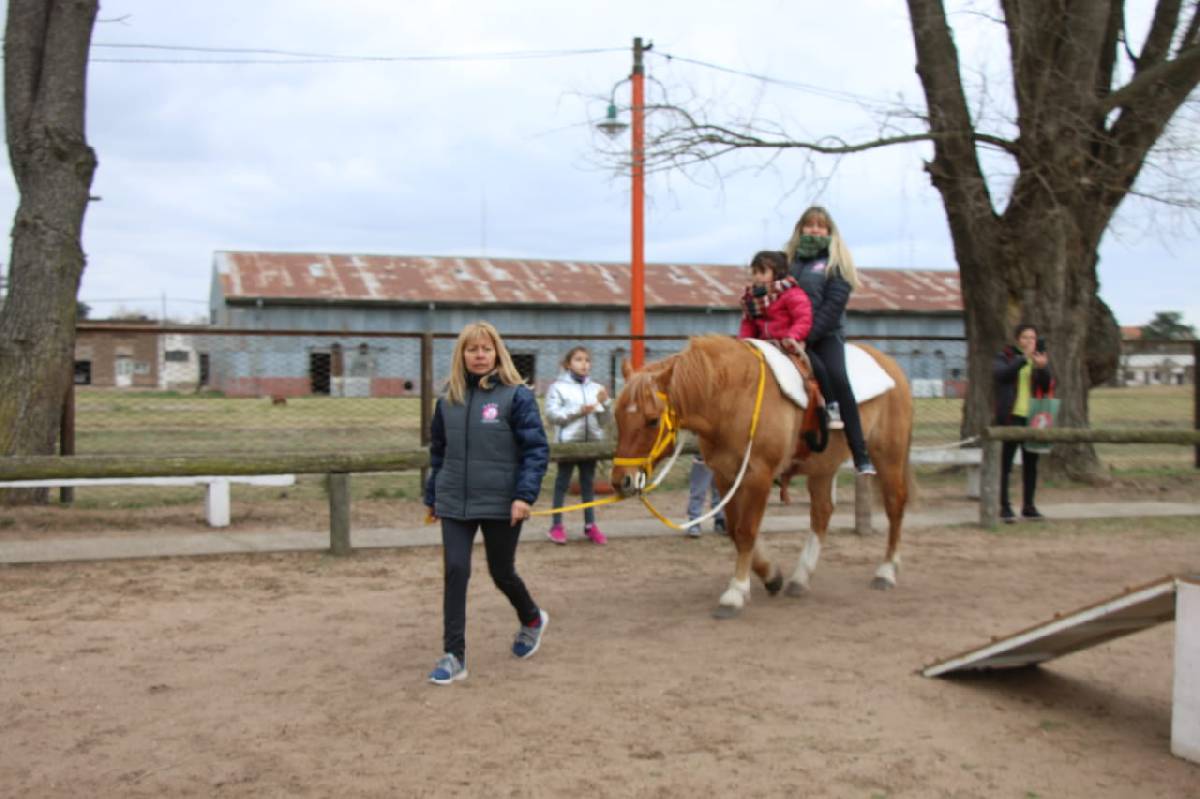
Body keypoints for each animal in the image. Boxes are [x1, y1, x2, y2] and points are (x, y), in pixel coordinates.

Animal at [614, 333, 912, 619]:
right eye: (617, 416)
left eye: (652, 420)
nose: (622, 481)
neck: (731, 398)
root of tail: (892, 366)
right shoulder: (724, 475)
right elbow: (734, 530)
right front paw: (771, 576)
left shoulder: (759, 476)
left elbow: (746, 531)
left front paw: (735, 593)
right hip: (822, 467)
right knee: (822, 513)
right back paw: (800, 579)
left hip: (888, 455)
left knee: (895, 505)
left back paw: (886, 571)